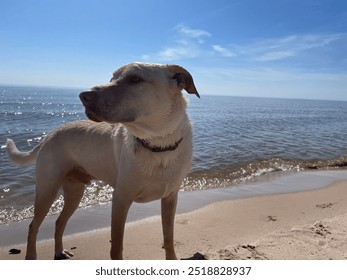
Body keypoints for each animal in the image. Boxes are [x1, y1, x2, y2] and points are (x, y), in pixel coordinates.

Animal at [6, 62, 200, 260]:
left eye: (135, 79)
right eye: (111, 78)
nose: (84, 96)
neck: (158, 144)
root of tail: (49, 135)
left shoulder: (170, 198)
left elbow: (169, 237)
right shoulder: (121, 199)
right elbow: (116, 246)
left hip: (74, 192)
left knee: (59, 222)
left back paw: (59, 251)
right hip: (47, 190)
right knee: (33, 226)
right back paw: (31, 255)